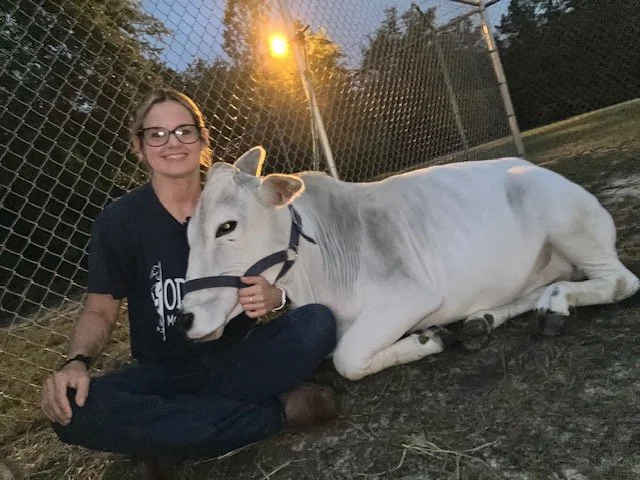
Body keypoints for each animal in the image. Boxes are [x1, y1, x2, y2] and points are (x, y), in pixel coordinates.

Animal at [180, 146, 639, 380]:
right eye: (187, 231)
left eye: (226, 226)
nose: (184, 319)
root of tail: (531, 166)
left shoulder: (411, 298)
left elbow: (346, 359)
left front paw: (427, 339)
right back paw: (484, 319)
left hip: (572, 227)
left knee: (620, 282)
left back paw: (556, 305)